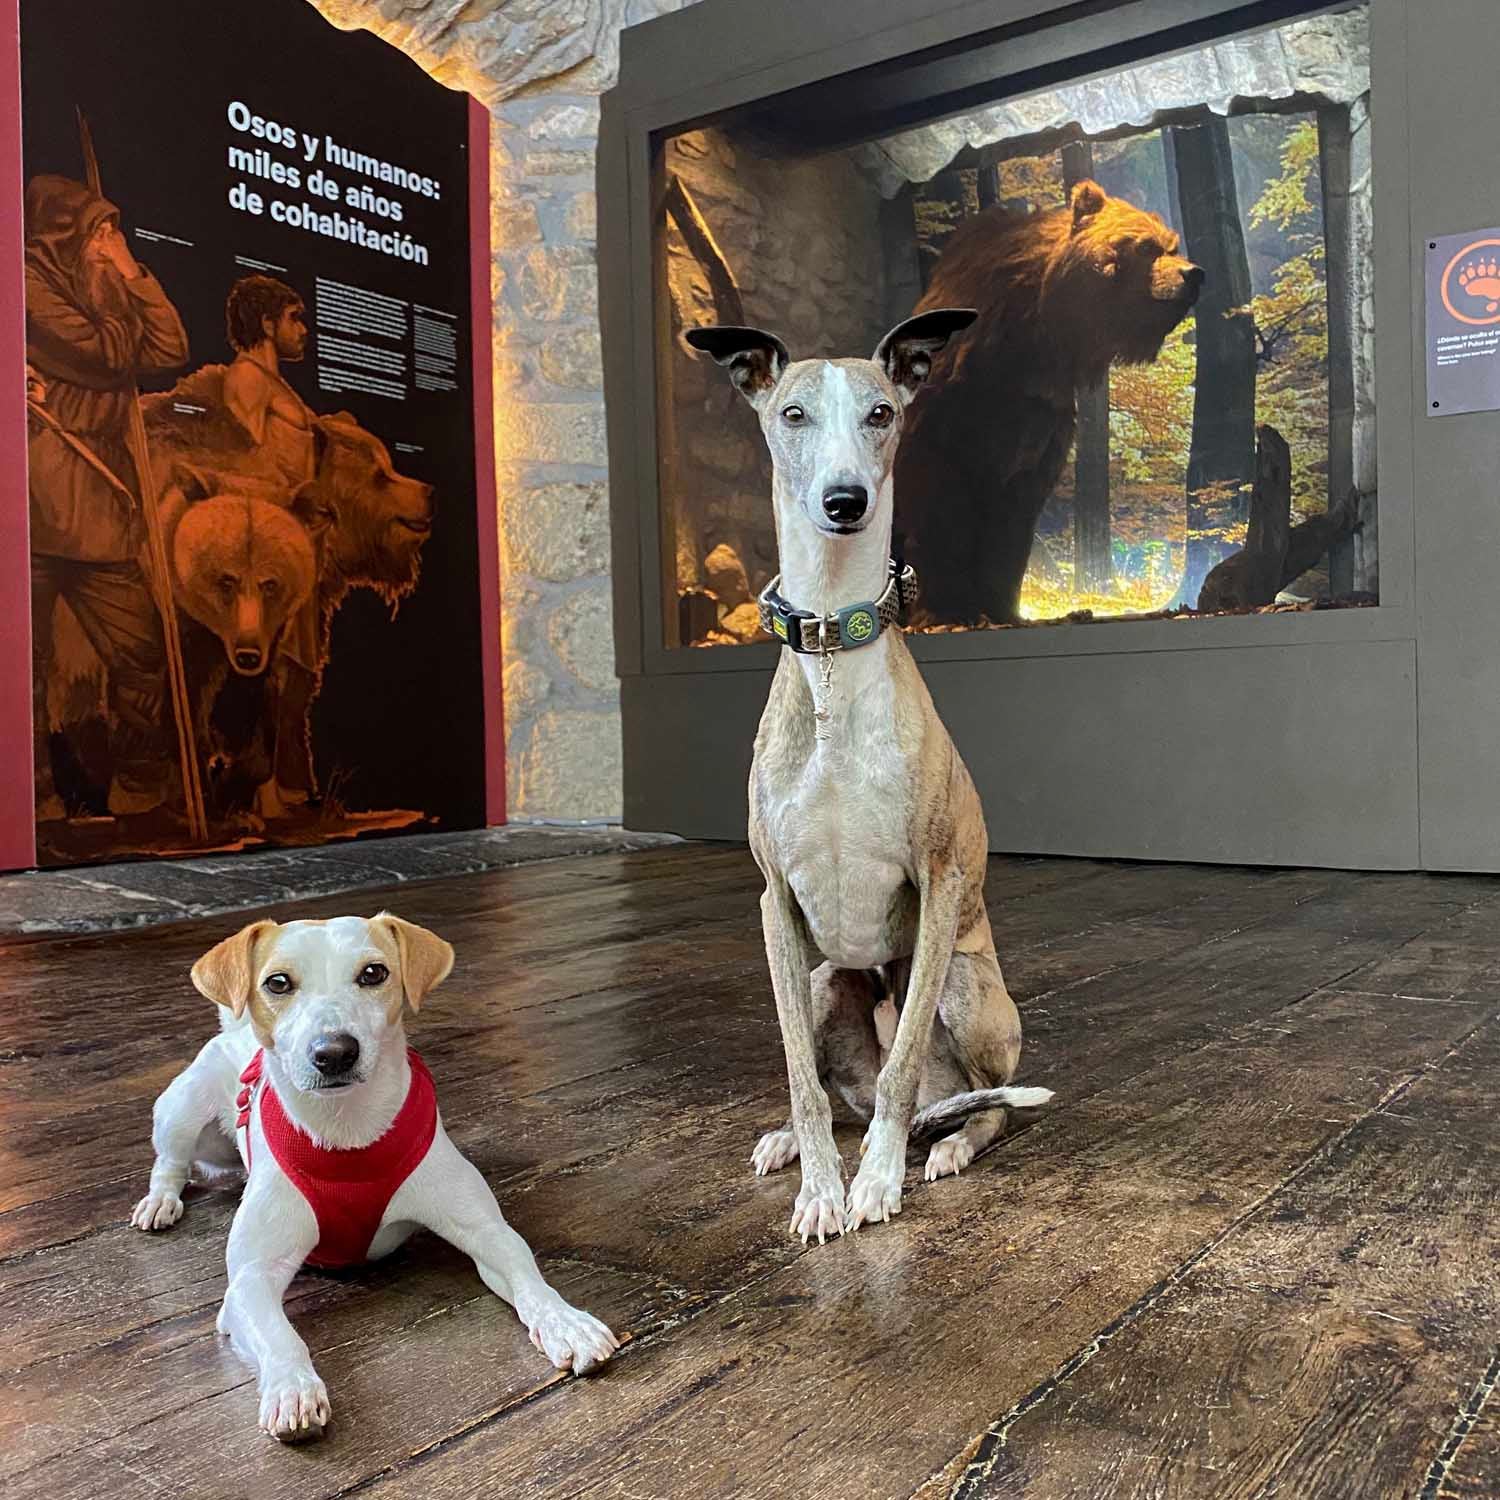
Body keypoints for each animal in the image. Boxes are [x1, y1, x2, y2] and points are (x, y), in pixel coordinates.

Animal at [132, 906, 618, 1446]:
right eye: (277, 982)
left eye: (373, 973)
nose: (334, 1052)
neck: (347, 1132)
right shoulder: (249, 1282)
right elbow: (281, 1335)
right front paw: (292, 1387)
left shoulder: (487, 1232)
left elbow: (529, 1279)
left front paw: (566, 1323)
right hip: (181, 1111)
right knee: (170, 1163)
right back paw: (160, 1202)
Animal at [687, 313, 1050, 1242]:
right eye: (793, 414)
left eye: (882, 411)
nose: (843, 502)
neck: (831, 657)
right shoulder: (775, 903)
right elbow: (799, 1078)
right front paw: (821, 1188)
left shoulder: (939, 882)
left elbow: (900, 1068)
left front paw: (877, 1183)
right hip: (823, 981)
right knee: (838, 1091)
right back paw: (792, 1141)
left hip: (963, 985)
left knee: (977, 1102)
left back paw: (948, 1144)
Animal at [888, 181, 1206, 627]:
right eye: (1147, 246)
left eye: (1173, 245)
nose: (1194, 274)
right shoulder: (947, 423)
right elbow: (938, 505)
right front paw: (944, 608)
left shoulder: (1040, 425)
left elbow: (1014, 520)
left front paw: (1002, 607)